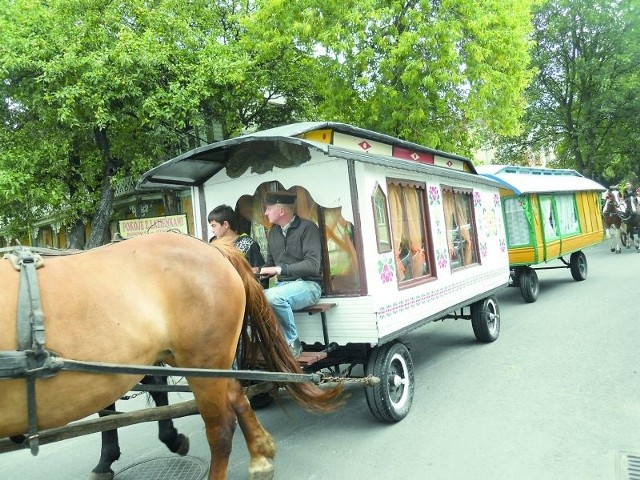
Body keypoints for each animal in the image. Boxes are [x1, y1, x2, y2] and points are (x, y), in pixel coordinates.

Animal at [0, 231, 342, 478]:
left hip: (202, 361)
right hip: (196, 360)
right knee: (236, 396)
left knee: (221, 429)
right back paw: (260, 458)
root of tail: (215, 250)